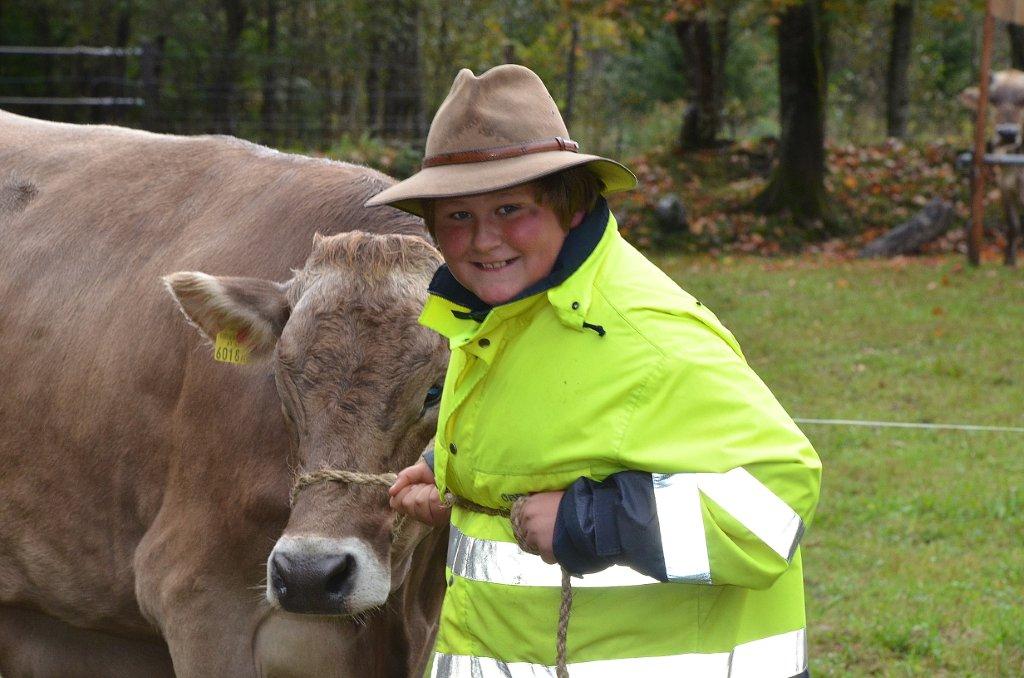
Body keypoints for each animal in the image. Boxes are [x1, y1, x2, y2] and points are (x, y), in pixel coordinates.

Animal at [961, 68, 1024, 265]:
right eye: (993, 99)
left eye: (1023, 100)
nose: (1008, 134)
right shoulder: (1005, 186)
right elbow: (1013, 224)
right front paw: (1009, 261)